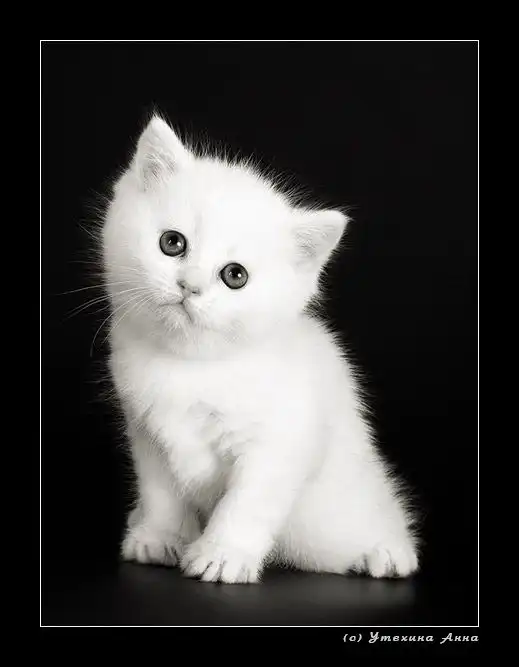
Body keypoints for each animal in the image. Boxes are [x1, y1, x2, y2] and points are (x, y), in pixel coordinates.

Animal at [101, 114, 419, 584]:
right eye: (172, 243)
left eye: (235, 275)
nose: (189, 286)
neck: (191, 365)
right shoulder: (145, 431)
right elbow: (161, 491)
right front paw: (160, 538)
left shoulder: (283, 438)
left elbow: (247, 502)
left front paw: (222, 555)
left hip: (335, 516)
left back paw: (385, 553)